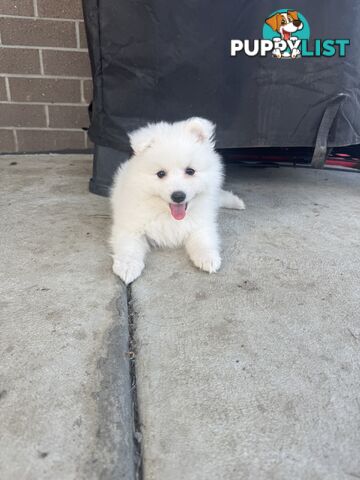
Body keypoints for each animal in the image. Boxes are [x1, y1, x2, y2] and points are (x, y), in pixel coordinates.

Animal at [109, 118, 245, 284]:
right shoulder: (130, 226)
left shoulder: (200, 224)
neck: (168, 215)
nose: (178, 196)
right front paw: (128, 266)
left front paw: (208, 258)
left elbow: (203, 240)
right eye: (160, 173)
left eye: (190, 171)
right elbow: (129, 247)